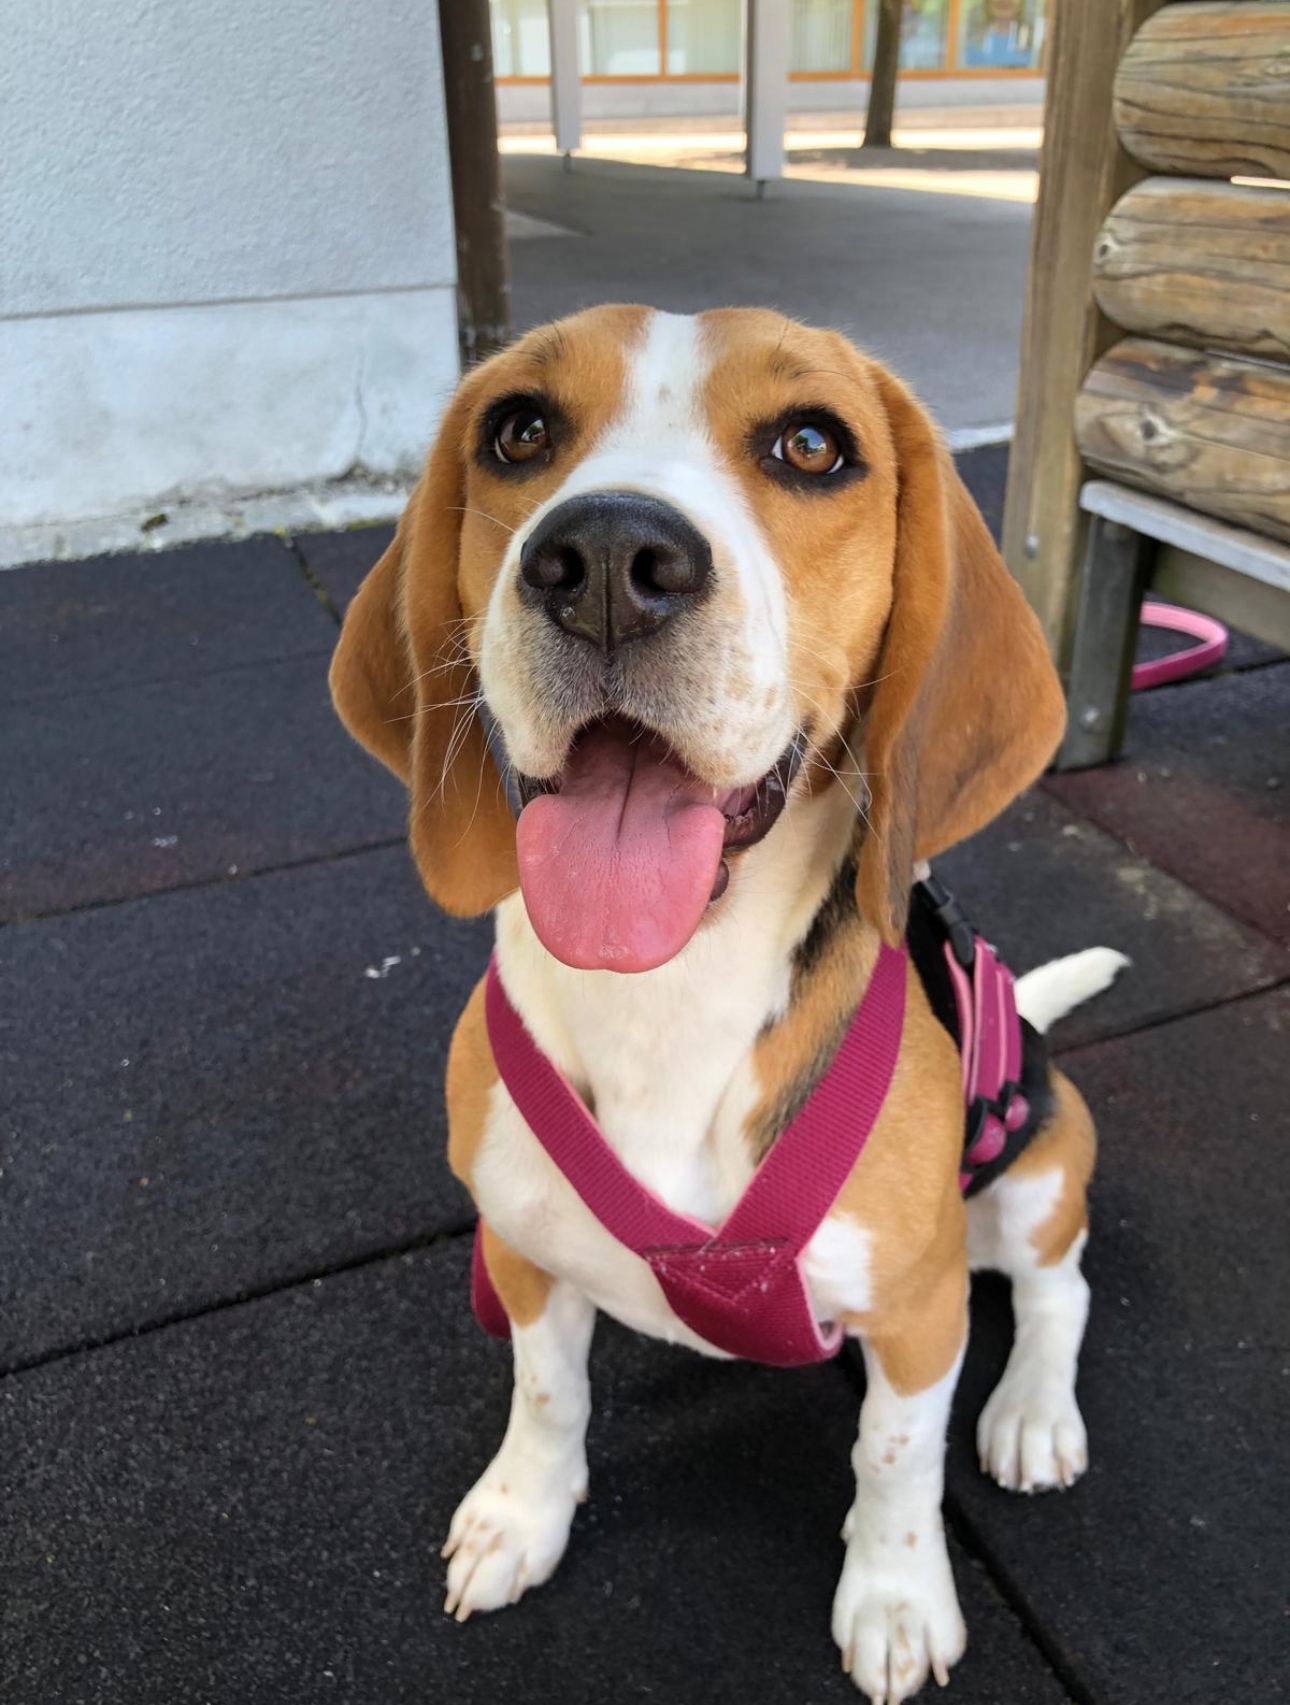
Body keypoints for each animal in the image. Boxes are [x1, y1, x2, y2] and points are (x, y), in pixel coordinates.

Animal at [329, 306, 1124, 1704]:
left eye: (813, 444)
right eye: (518, 429)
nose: (603, 558)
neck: (667, 993)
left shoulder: (919, 1311)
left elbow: (894, 1459)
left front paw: (897, 1595)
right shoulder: (519, 1251)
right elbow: (547, 1395)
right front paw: (521, 1514)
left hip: (1035, 1179)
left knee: (1056, 1294)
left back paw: (1032, 1410)